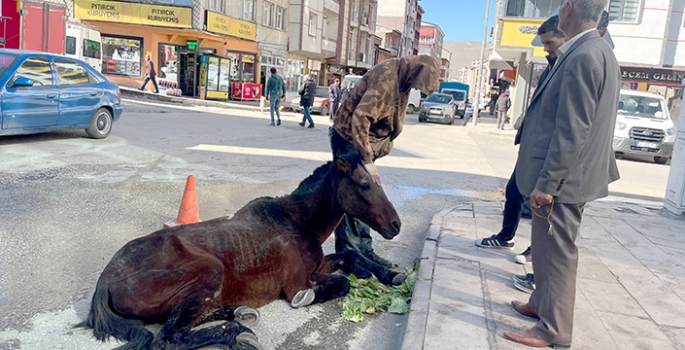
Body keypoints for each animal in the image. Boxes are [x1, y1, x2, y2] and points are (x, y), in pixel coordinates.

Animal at [77, 148, 404, 350]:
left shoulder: (319, 265)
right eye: (364, 184)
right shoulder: (298, 283)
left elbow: (350, 257)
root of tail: (105, 281)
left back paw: (234, 312)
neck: (294, 221)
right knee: (170, 337)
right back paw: (237, 334)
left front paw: (391, 275)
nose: (396, 224)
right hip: (209, 271)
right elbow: (340, 284)